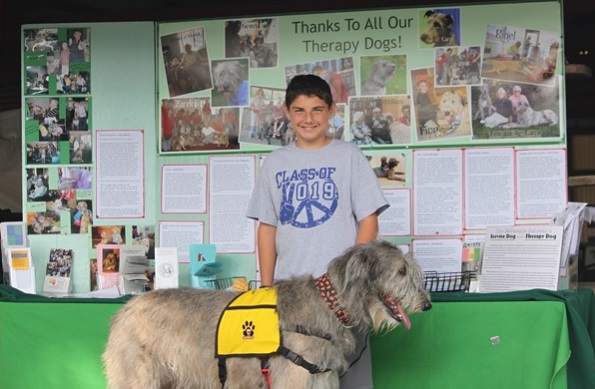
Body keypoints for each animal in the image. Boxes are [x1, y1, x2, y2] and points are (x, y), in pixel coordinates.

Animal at [101, 239, 428, 388]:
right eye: (401, 271)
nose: (427, 304)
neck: (327, 302)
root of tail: (124, 311)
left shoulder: (320, 379)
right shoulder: (294, 378)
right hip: (139, 376)